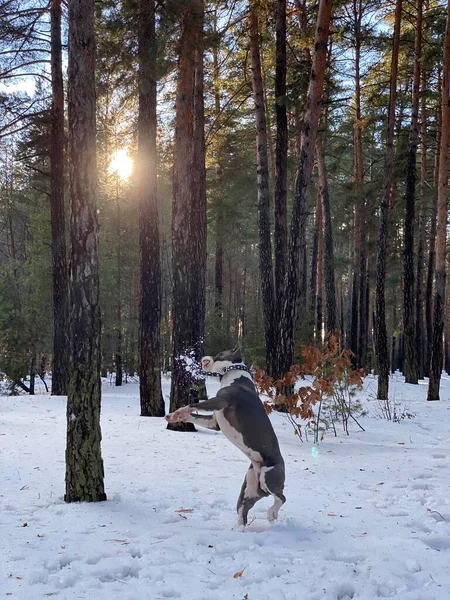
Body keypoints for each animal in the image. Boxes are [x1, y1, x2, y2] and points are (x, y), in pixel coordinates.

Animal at [164, 346, 284, 524]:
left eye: (220, 353)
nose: (202, 357)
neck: (234, 373)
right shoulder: (214, 422)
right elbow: (194, 416)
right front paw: (176, 416)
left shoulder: (222, 400)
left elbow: (193, 404)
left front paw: (179, 411)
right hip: (249, 488)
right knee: (243, 512)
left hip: (269, 476)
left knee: (281, 497)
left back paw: (272, 513)